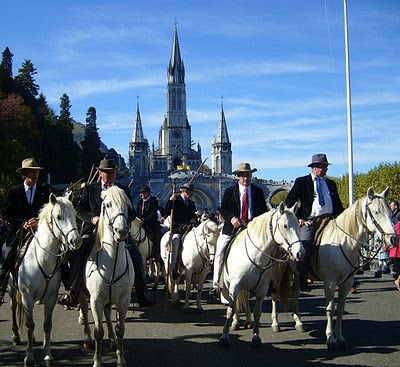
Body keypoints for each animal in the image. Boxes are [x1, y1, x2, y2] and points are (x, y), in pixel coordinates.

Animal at [9, 194, 82, 366]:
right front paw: (29, 357)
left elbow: (47, 325)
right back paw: (16, 336)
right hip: (12, 289)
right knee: (13, 307)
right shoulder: (27, 296)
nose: (76, 241)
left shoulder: (51, 297)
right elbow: (29, 325)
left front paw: (48, 354)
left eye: (75, 214)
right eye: (59, 217)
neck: (43, 259)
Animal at [84, 187, 134, 367]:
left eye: (127, 205)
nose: (122, 231)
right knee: (84, 310)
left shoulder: (124, 300)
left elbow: (121, 329)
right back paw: (87, 339)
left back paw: (112, 340)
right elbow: (99, 331)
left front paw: (121, 358)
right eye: (107, 205)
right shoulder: (96, 299)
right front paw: (97, 361)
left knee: (107, 314)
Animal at [219, 203, 304, 346]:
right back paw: (236, 322)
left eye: (299, 225)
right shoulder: (234, 286)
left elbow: (257, 312)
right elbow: (230, 309)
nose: (300, 253)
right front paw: (224, 336)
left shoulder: (262, 288)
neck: (256, 255)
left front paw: (256, 336)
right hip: (228, 285)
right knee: (236, 302)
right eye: (285, 225)